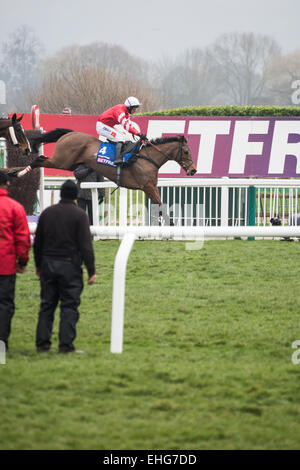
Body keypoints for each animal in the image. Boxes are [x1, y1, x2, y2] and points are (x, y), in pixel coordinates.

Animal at [5, 129, 197, 204]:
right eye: (187, 152)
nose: (193, 170)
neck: (147, 158)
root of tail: (70, 133)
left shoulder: (151, 187)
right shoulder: (147, 186)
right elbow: (161, 204)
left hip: (70, 164)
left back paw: (14, 173)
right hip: (62, 160)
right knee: (40, 159)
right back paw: (17, 173)